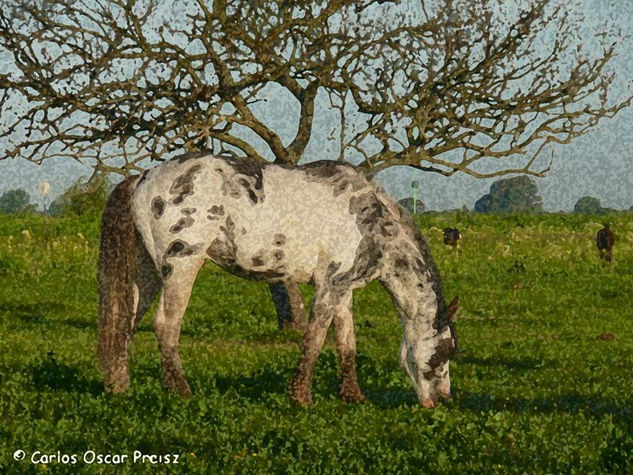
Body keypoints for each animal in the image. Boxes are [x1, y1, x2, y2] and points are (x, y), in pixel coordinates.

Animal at [97, 153, 454, 410]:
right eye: (443, 352)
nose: (442, 400)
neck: (367, 216)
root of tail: (141, 178)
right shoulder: (329, 288)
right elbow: (314, 340)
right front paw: (301, 397)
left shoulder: (341, 289)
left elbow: (347, 343)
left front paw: (353, 395)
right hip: (182, 267)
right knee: (165, 326)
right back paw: (182, 391)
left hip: (147, 273)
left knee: (125, 324)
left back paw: (119, 388)